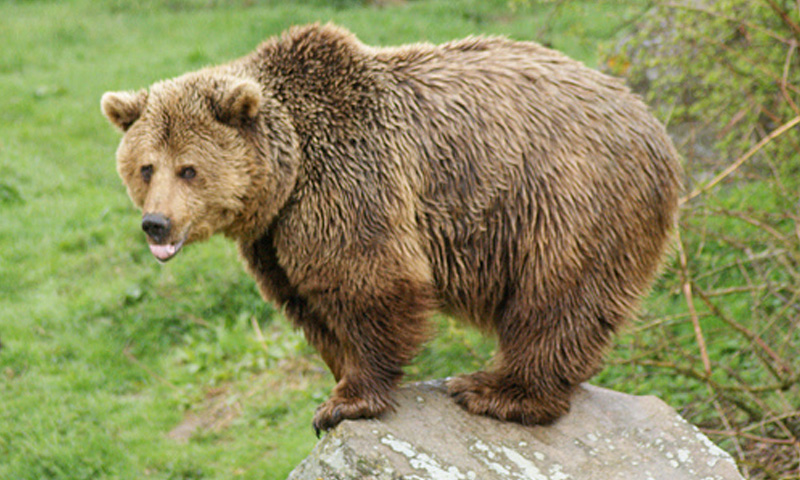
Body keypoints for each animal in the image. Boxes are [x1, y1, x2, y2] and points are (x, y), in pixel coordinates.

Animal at [101, 23, 680, 436]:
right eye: (146, 167)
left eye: (189, 169)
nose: (156, 223)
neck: (286, 175)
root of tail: (651, 120)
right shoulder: (273, 237)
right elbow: (307, 302)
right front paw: (336, 380)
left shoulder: (349, 178)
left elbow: (368, 280)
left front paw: (347, 401)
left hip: (570, 197)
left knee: (557, 299)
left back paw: (496, 390)